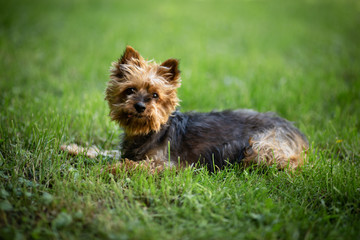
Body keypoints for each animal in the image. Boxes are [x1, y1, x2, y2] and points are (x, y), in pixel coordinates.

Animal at [60, 45, 308, 172]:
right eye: (130, 90)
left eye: (155, 95)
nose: (140, 106)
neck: (150, 131)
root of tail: (296, 130)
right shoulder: (128, 150)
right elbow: (106, 152)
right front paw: (73, 148)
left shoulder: (166, 164)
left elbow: (127, 164)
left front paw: (103, 170)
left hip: (261, 147)